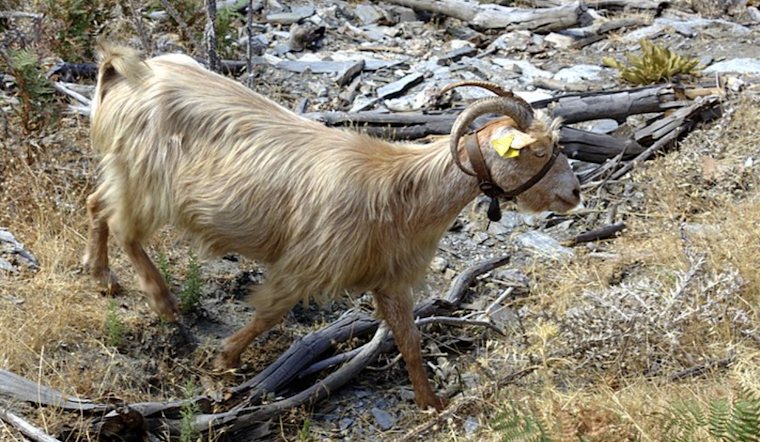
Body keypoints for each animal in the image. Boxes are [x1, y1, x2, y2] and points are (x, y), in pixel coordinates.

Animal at [84, 44, 581, 411]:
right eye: (538, 152)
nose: (574, 193)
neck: (403, 192)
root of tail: (127, 70)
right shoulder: (306, 263)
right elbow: (269, 313)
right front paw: (224, 360)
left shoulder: (391, 279)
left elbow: (410, 340)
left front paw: (431, 403)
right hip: (147, 180)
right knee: (124, 226)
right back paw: (163, 302)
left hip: (126, 172)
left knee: (96, 204)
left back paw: (102, 277)